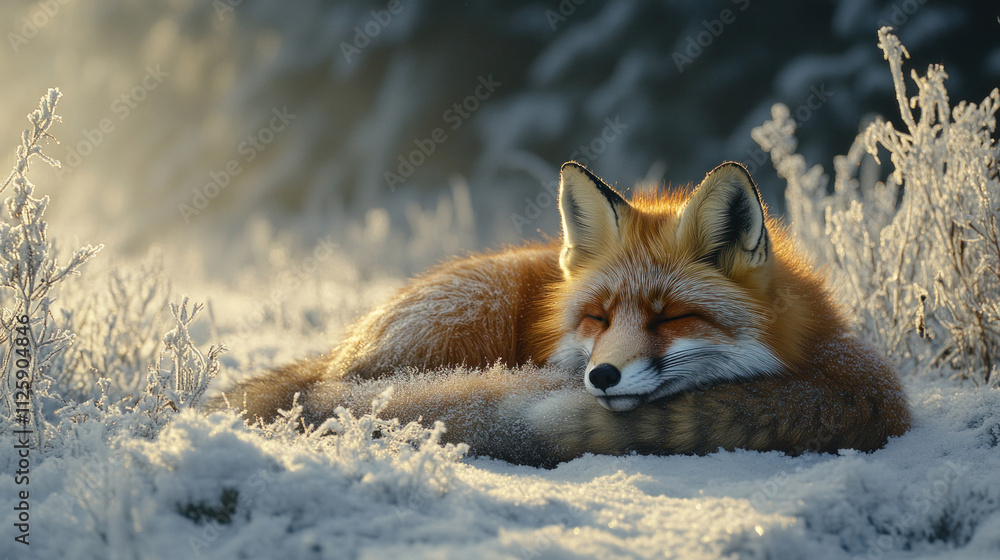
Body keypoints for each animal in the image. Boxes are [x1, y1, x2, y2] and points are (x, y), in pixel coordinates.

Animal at [209, 161, 911, 468]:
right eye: (597, 318)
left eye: (670, 318)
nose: (601, 377)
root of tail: (335, 352)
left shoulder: (860, 374)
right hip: (470, 311)